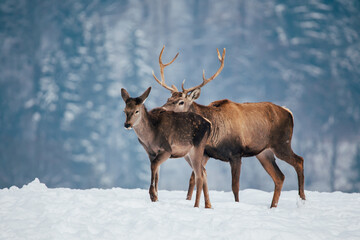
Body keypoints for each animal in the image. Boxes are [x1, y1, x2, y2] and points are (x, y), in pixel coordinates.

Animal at [152, 46, 306, 207]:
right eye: (168, 98)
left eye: (181, 102)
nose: (160, 109)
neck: (214, 135)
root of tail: (288, 112)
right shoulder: (206, 153)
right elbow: (194, 178)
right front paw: (192, 201)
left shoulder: (236, 153)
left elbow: (235, 186)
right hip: (264, 152)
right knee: (279, 177)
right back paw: (273, 206)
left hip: (282, 143)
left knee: (299, 161)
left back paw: (302, 199)